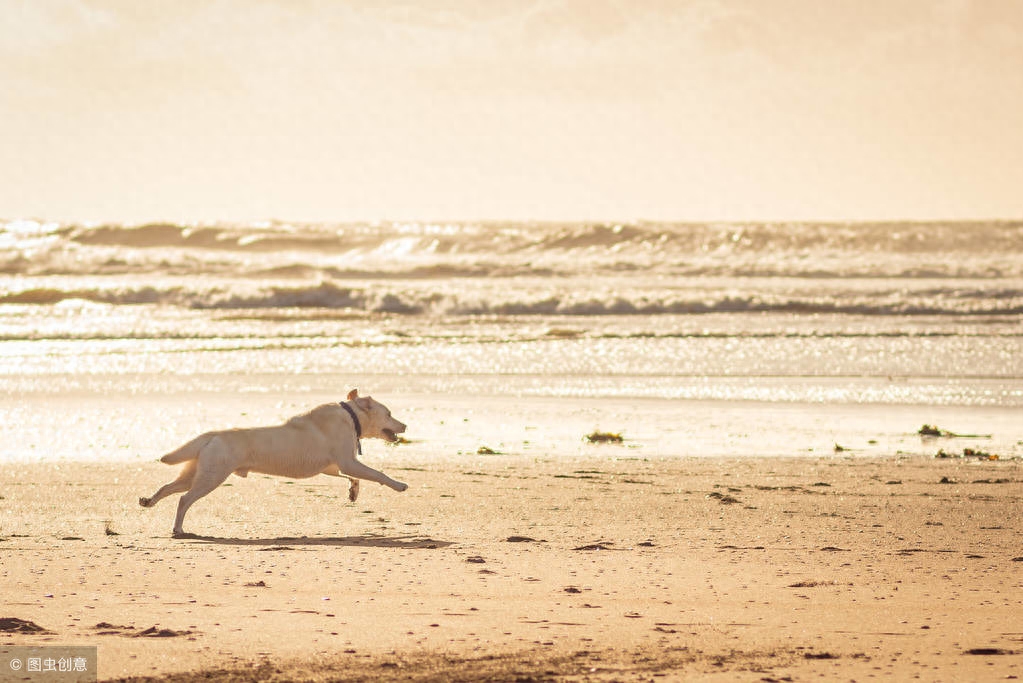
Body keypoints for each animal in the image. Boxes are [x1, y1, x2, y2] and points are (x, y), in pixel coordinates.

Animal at [139, 392, 407, 535]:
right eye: (389, 413)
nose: (405, 425)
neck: (352, 417)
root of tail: (212, 435)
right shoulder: (347, 462)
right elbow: (378, 474)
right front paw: (399, 485)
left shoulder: (334, 467)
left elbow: (355, 477)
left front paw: (353, 492)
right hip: (211, 477)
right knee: (184, 500)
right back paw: (178, 529)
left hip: (196, 472)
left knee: (167, 488)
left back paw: (148, 501)